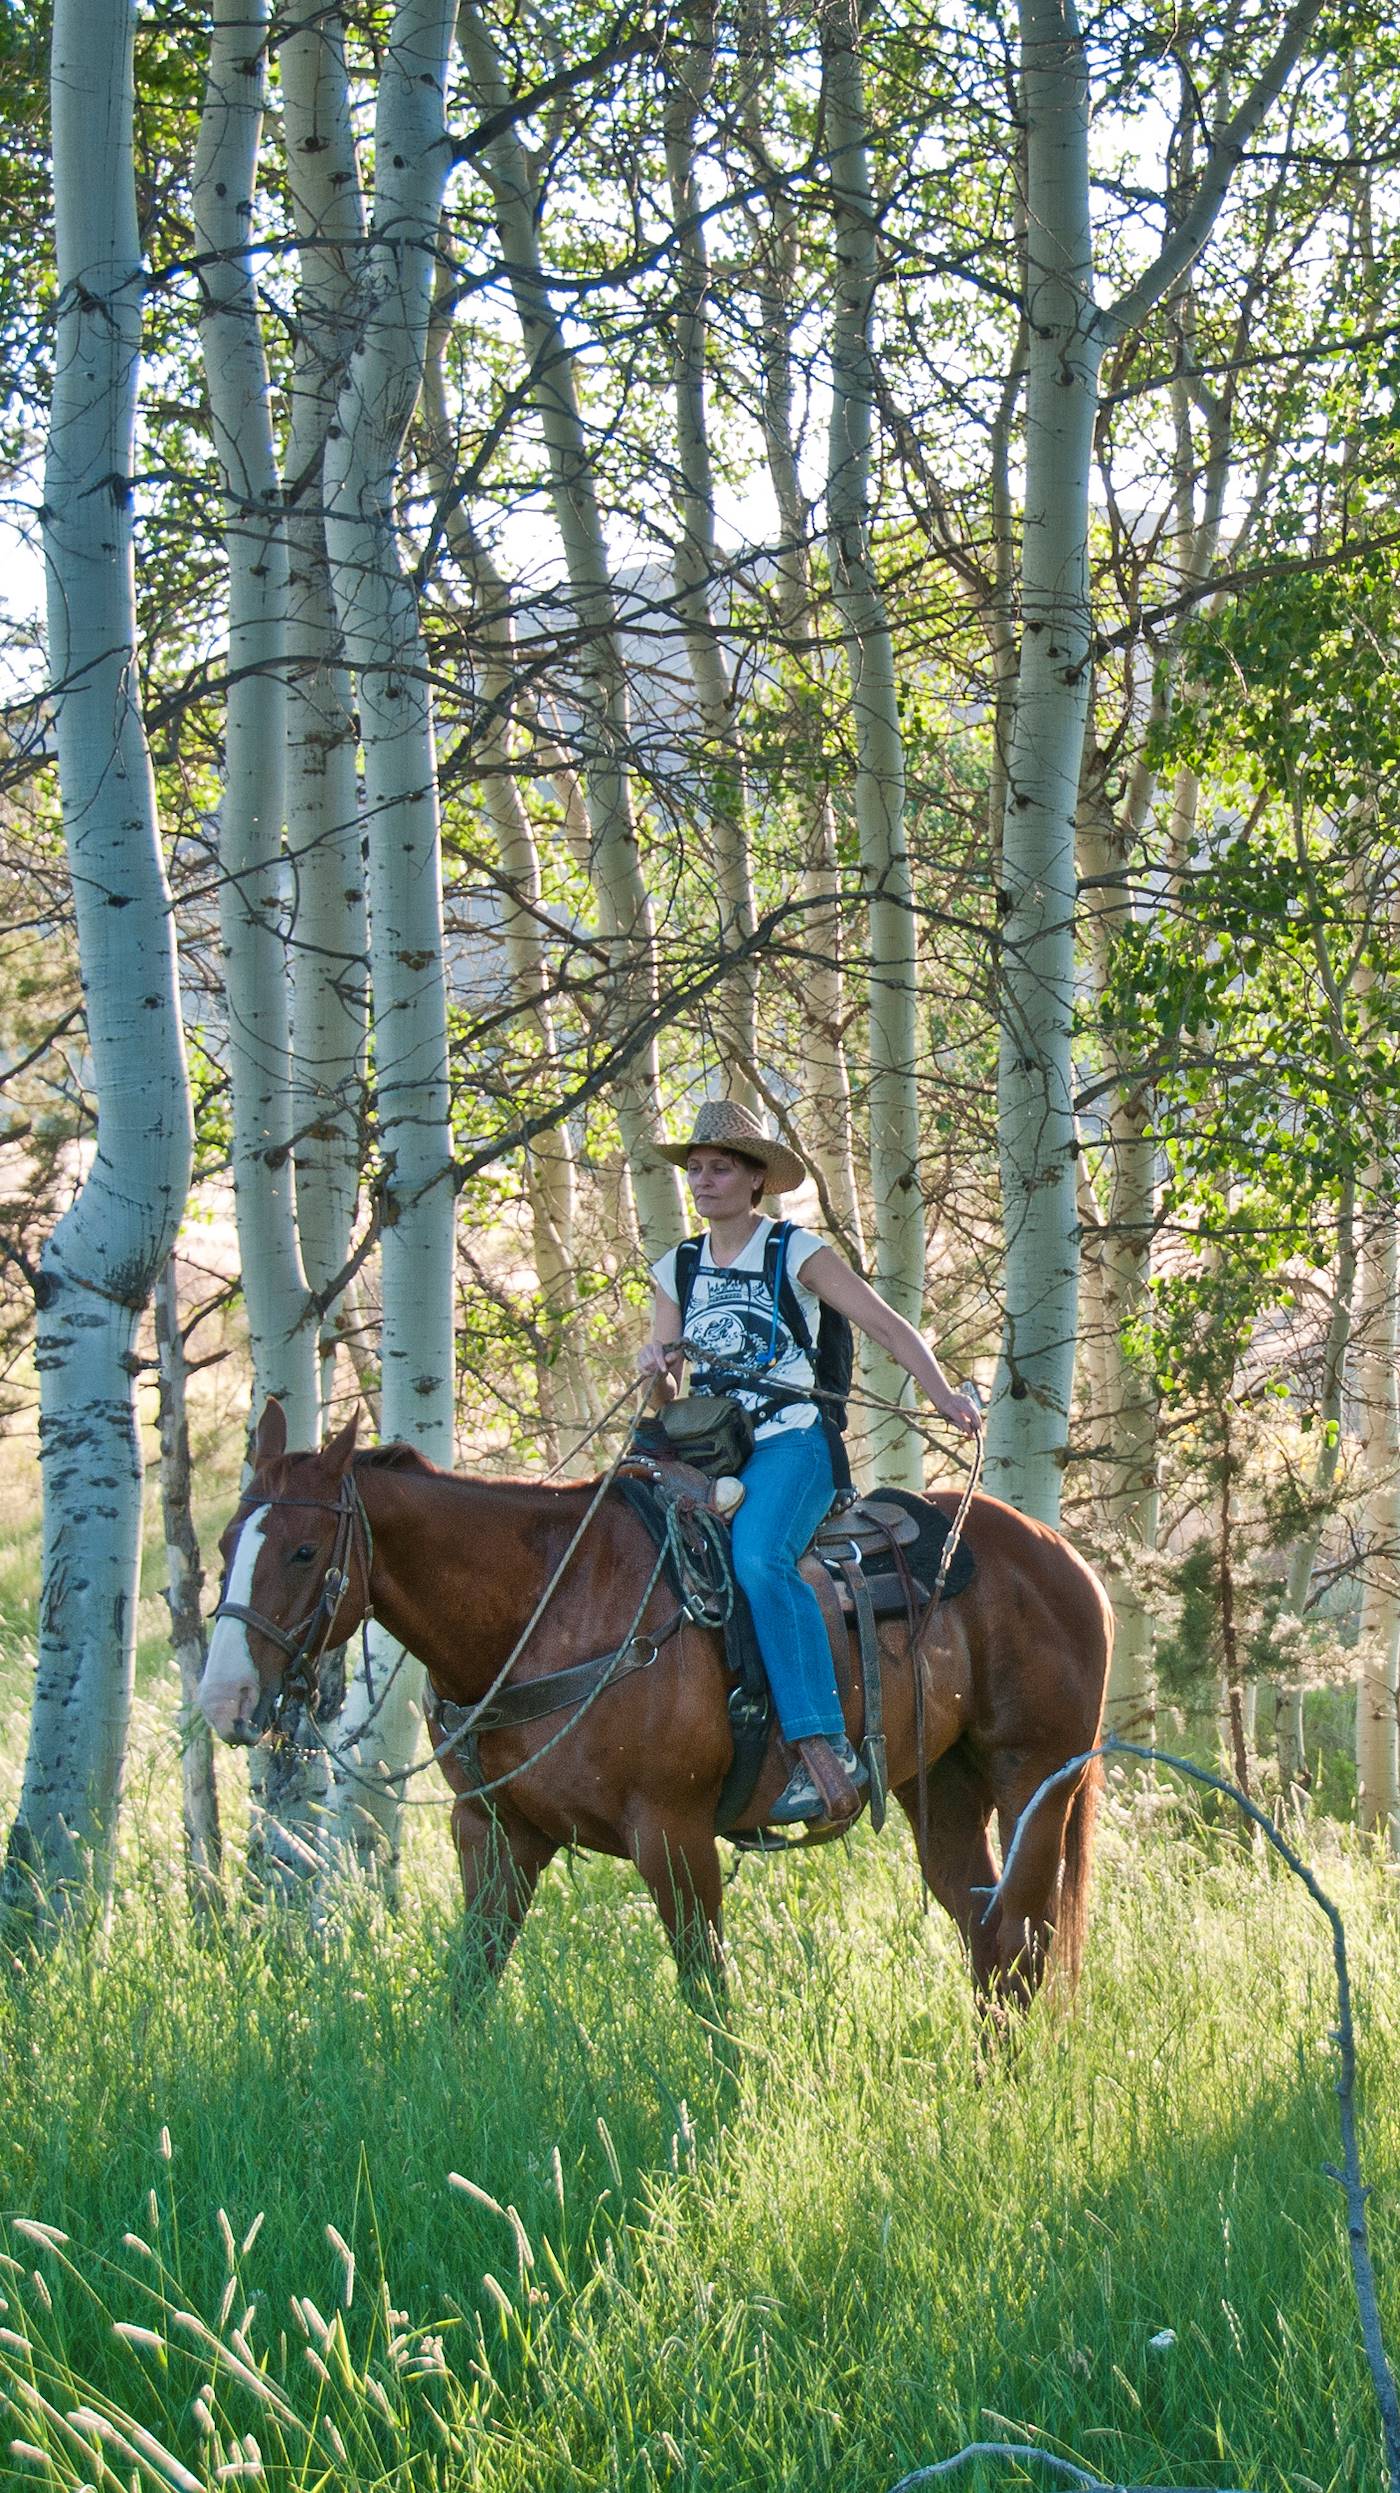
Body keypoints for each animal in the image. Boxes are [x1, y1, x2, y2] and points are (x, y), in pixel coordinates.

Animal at [199, 1406, 1111, 2024]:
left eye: (303, 1551)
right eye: (224, 1547)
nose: (223, 1700)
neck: (544, 1608)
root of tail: (1065, 1557)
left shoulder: (671, 1835)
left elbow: (708, 1994)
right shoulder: (493, 1832)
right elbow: (470, 1982)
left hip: (1035, 1783)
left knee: (1021, 1941)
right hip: (944, 1791)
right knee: (989, 1940)